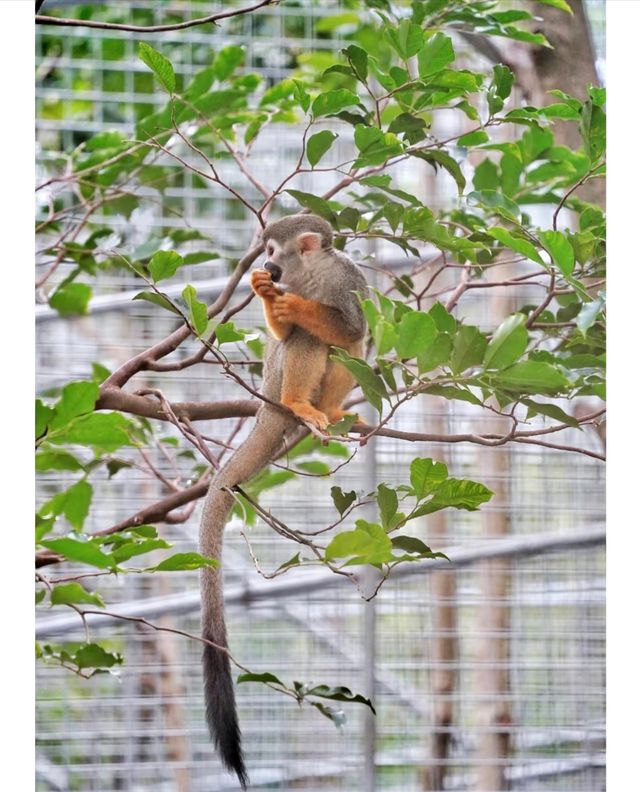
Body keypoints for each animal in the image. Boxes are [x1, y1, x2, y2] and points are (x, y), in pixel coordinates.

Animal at [198, 212, 368, 784]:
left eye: (274, 249)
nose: (266, 267)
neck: (310, 276)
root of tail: (268, 401)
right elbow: (287, 335)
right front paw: (272, 303)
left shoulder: (349, 279)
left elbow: (352, 327)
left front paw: (293, 305)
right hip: (271, 379)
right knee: (299, 346)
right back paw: (298, 402)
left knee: (344, 346)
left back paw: (326, 410)